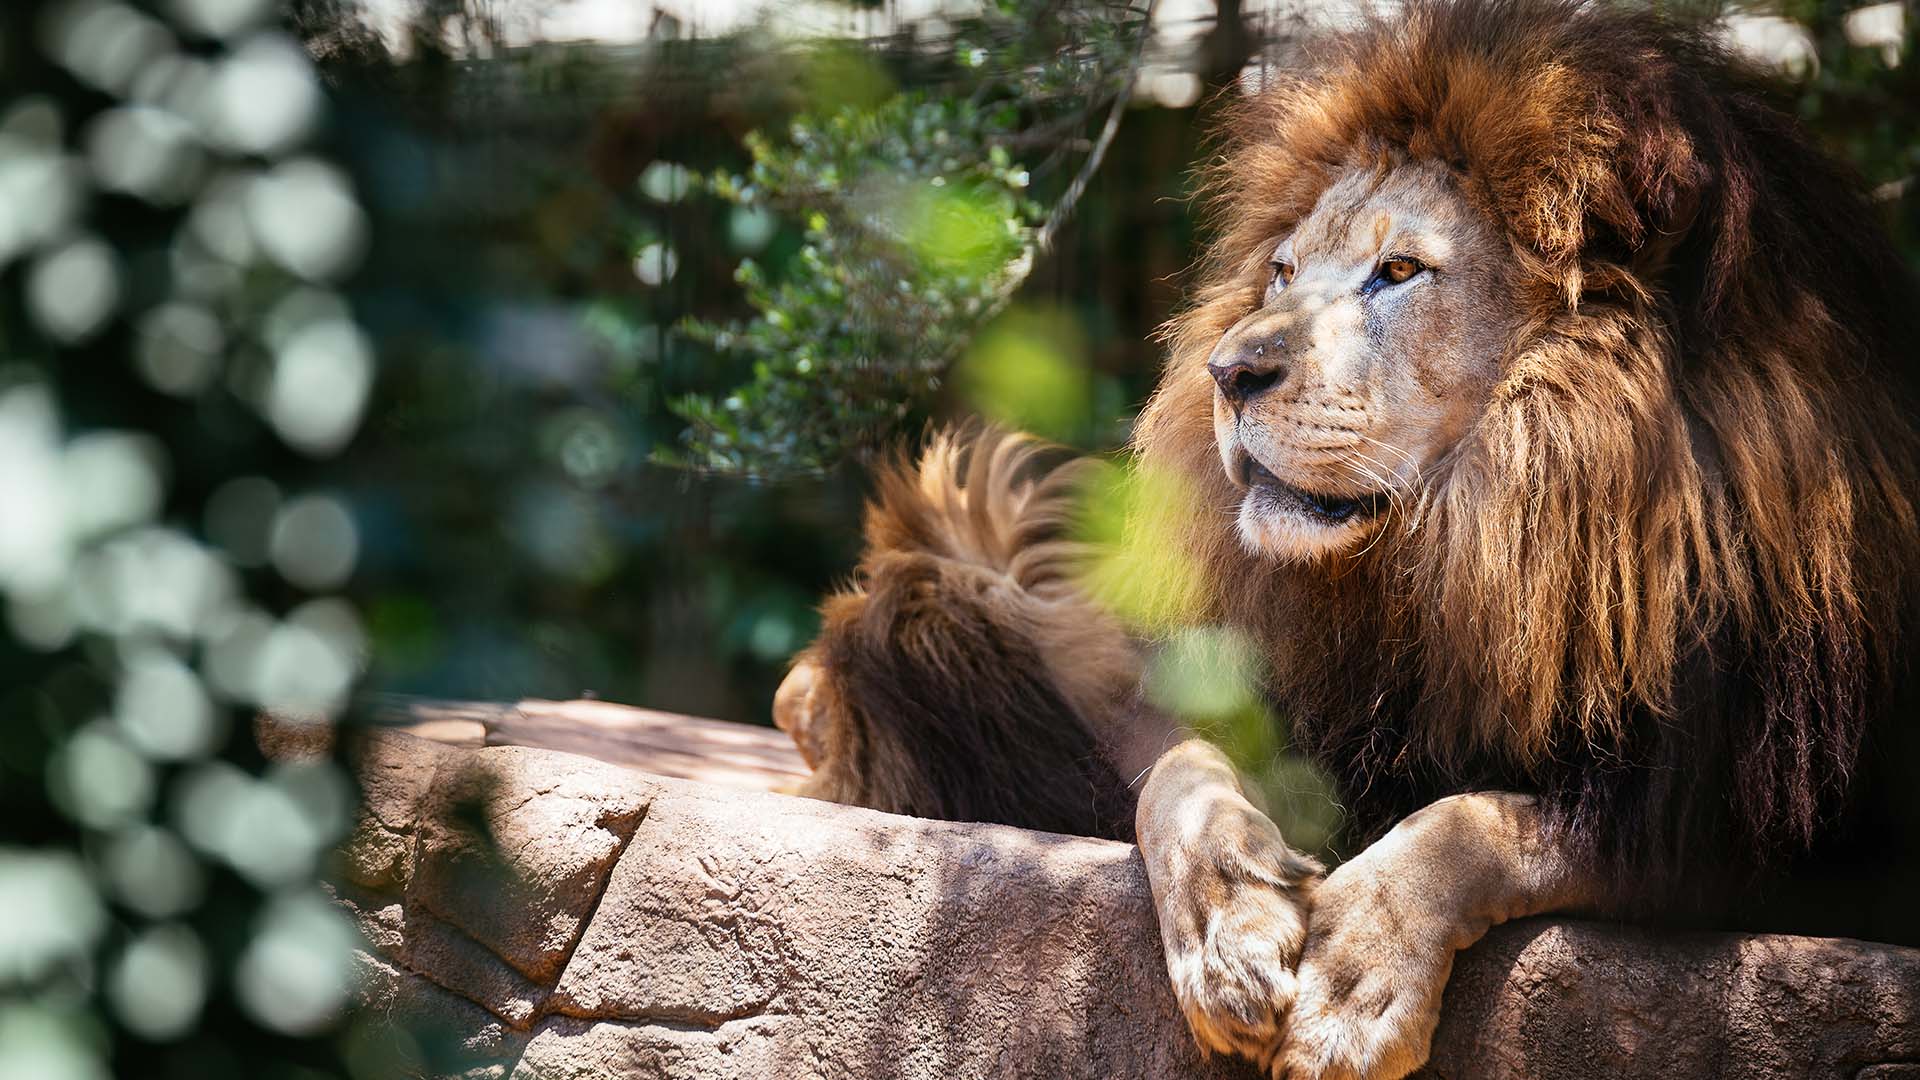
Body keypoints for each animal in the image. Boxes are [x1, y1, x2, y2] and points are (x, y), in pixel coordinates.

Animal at [775, 2, 1920, 1076]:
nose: (1228, 373)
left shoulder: (1749, 821)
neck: (1464, 553)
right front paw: (1228, 922)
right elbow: (1181, 766)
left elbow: (1483, 819)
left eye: (1400, 271)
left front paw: (1356, 982)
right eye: (1284, 272)